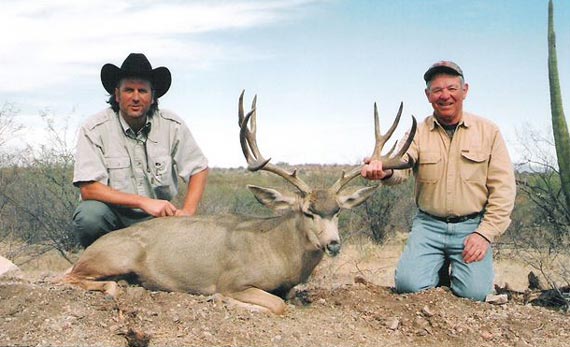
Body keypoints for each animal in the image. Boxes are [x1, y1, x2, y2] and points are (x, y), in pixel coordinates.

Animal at [62, 92, 414, 316]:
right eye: (307, 211)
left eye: (337, 210)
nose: (333, 244)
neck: (277, 249)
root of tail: (92, 249)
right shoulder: (234, 279)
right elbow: (276, 305)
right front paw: (222, 301)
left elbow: (287, 299)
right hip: (113, 256)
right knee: (67, 277)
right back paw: (119, 286)